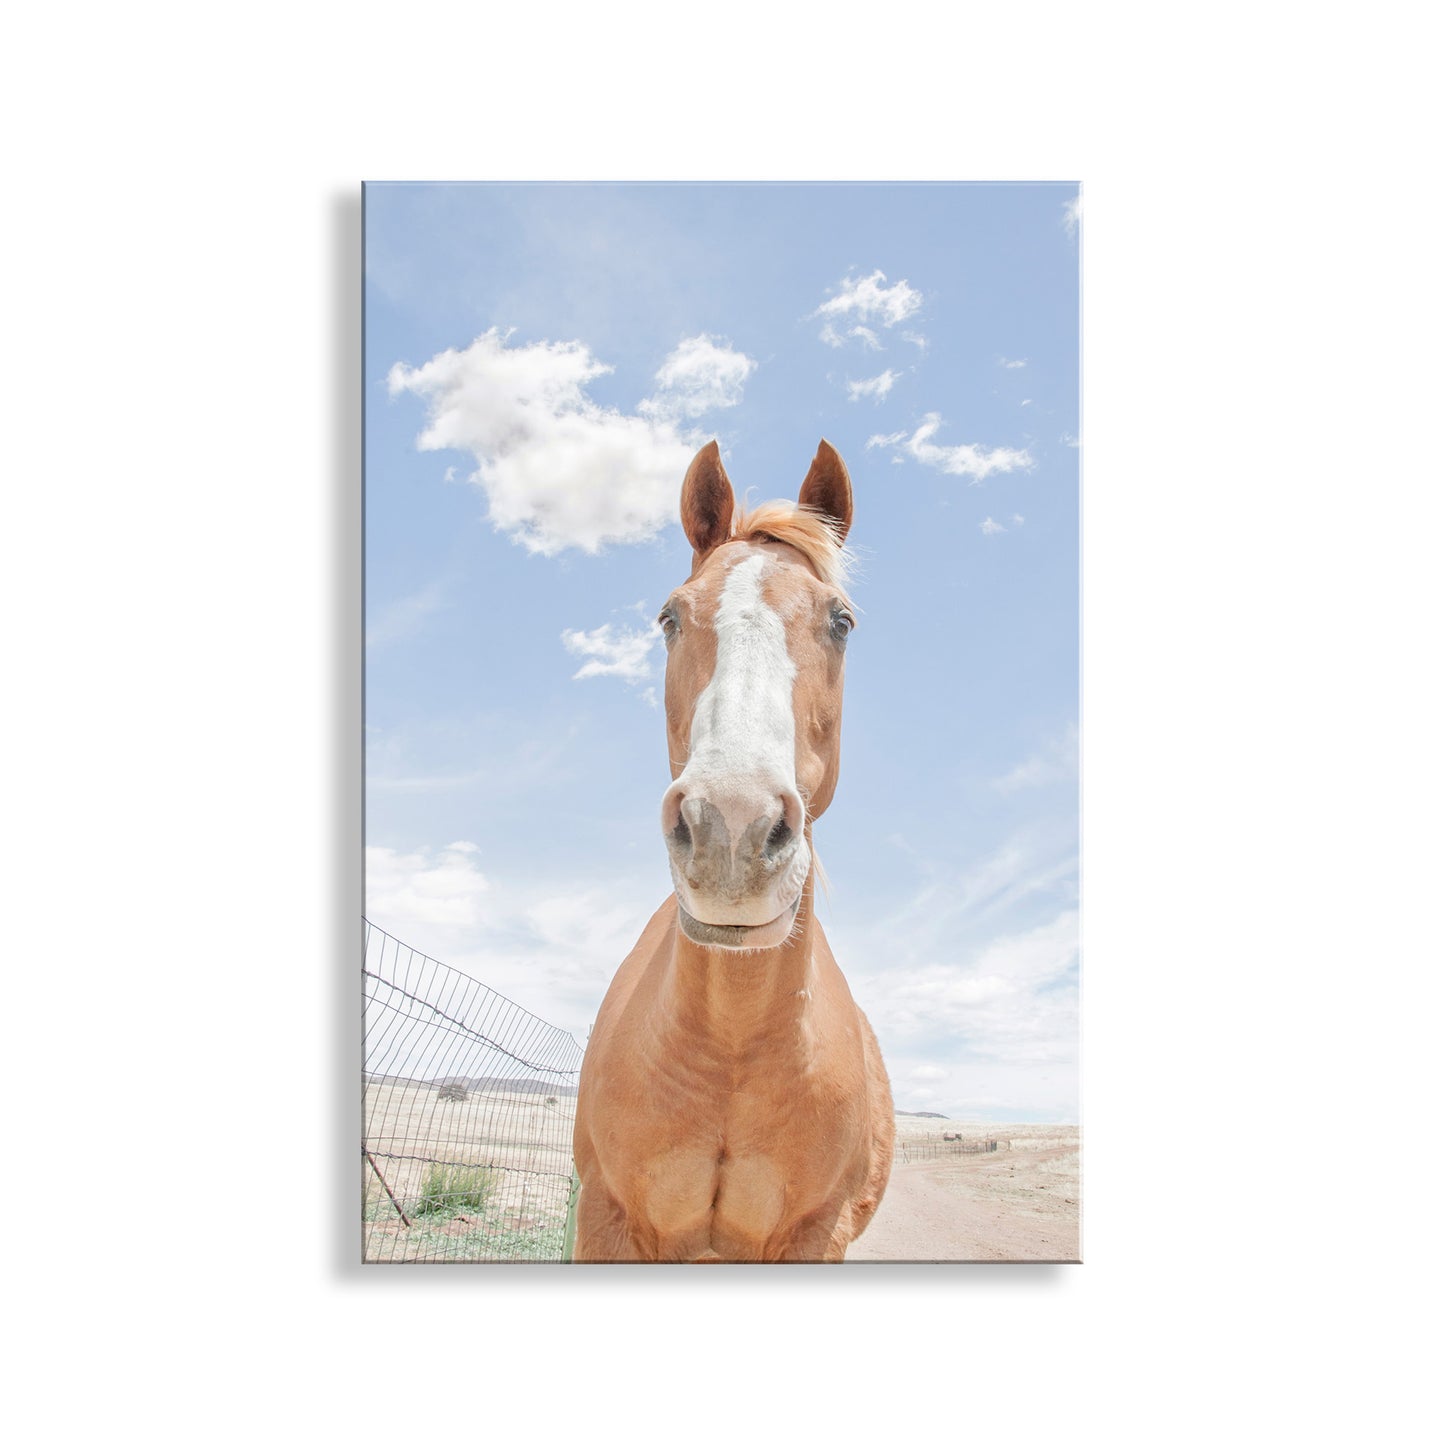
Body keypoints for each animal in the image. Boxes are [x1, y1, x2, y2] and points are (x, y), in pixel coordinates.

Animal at [571, 438, 894, 1262]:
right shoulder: (606, 1219)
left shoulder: (816, 1235)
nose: (731, 828)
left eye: (842, 621)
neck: (731, 1049)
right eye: (669, 616)